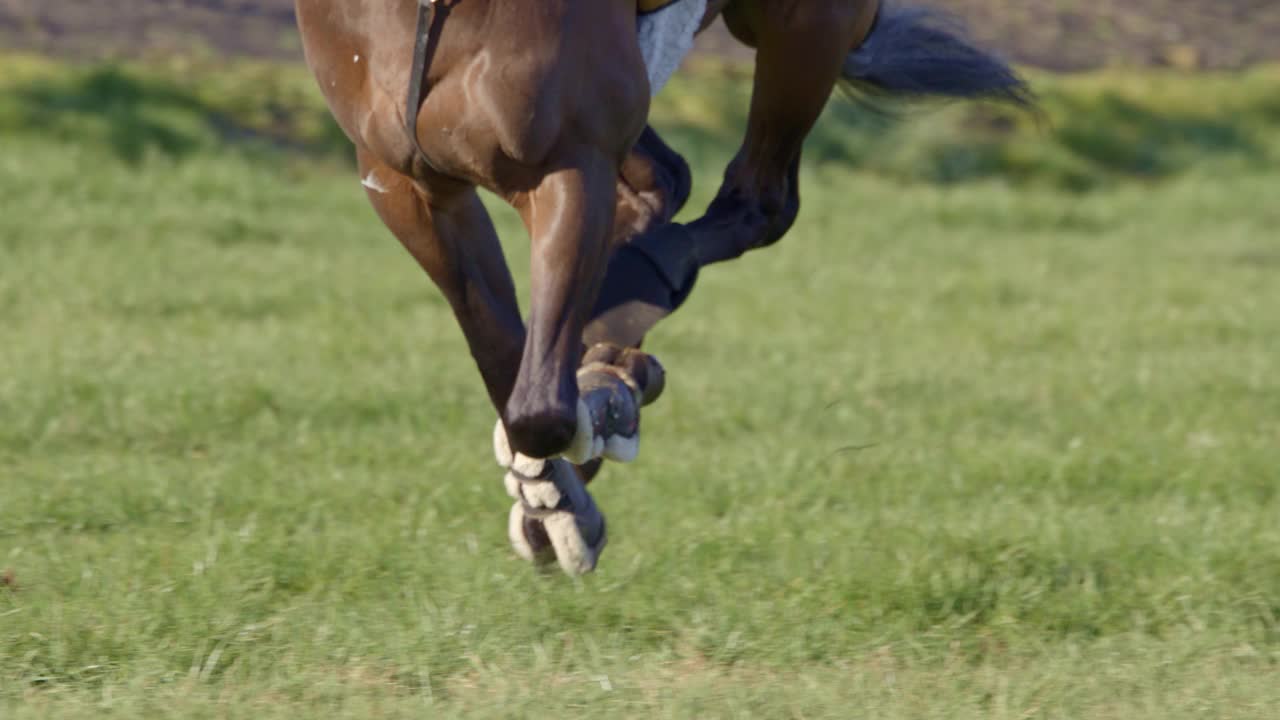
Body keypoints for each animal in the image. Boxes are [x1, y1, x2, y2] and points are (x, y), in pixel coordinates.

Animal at [293, 0, 1029, 571]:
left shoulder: (570, 161)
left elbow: (540, 405)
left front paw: (575, 463)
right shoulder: (408, 183)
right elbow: (506, 360)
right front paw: (554, 495)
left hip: (803, 30)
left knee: (757, 202)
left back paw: (634, 305)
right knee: (666, 183)